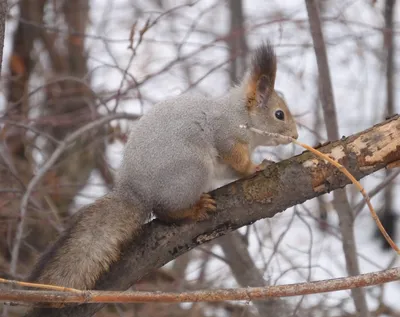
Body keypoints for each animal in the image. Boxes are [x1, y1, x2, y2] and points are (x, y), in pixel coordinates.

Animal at [27, 42, 296, 294]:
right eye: (279, 114)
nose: (296, 135)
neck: (240, 114)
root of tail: (137, 192)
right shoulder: (226, 135)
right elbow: (237, 159)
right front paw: (254, 167)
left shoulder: (224, 163)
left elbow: (231, 171)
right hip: (192, 170)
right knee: (165, 212)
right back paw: (195, 209)